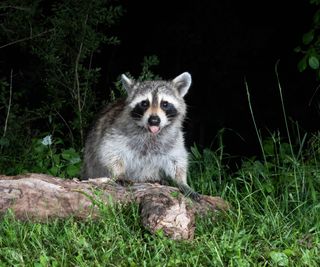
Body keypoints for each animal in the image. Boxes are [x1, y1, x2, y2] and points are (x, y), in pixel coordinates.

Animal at [81, 72, 199, 200]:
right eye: (144, 103)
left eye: (165, 104)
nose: (154, 120)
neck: (151, 133)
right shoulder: (117, 131)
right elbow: (110, 152)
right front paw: (119, 173)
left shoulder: (173, 138)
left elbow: (177, 161)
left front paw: (182, 182)